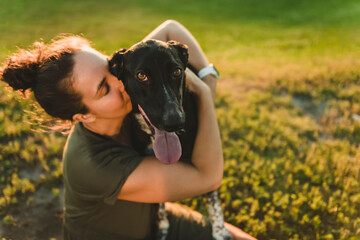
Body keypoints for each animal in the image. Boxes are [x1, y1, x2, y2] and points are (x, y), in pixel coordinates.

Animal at [108, 39, 232, 240]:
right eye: (141, 75)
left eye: (177, 72)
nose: (175, 122)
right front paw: (163, 226)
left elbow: (212, 196)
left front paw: (220, 231)